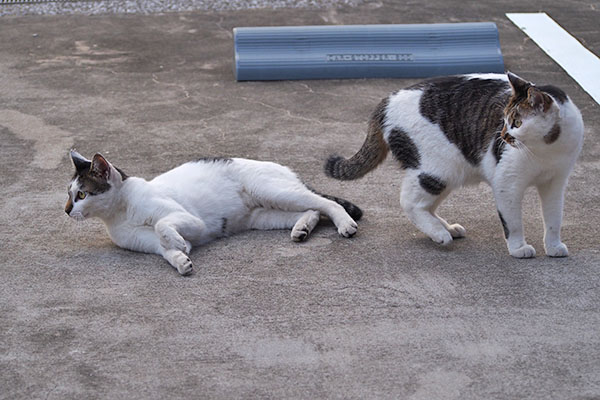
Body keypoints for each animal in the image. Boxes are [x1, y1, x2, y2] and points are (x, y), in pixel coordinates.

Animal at [68, 151, 364, 276]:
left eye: (81, 195)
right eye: (68, 193)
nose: (66, 209)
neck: (121, 212)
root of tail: (286, 168)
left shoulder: (192, 221)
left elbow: (163, 225)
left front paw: (176, 241)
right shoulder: (146, 243)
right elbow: (166, 250)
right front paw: (181, 259)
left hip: (276, 191)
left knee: (325, 203)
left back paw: (345, 224)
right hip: (264, 215)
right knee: (311, 210)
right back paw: (302, 228)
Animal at [326, 73, 584, 258]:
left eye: (517, 122)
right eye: (505, 120)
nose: (502, 135)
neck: (547, 148)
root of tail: (386, 101)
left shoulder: (556, 183)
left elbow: (554, 219)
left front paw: (553, 247)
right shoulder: (507, 184)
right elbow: (513, 222)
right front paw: (519, 248)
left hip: (450, 174)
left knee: (425, 205)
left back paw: (445, 228)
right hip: (437, 170)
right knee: (409, 202)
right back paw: (440, 234)